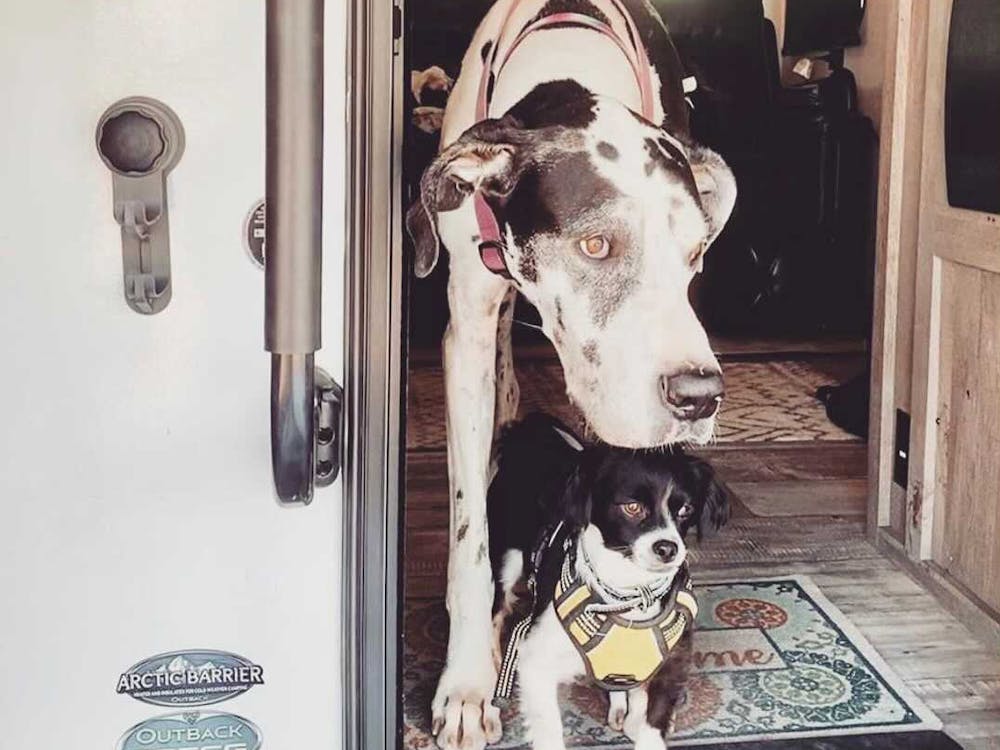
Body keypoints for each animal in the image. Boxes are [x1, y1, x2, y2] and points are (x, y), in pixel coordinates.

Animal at [488, 414, 732, 750]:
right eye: (632, 507)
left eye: (686, 510)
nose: (668, 548)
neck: (629, 596)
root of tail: (530, 430)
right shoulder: (535, 661)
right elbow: (550, 731)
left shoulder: (668, 665)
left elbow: (651, 724)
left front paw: (637, 719)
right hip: (504, 568)